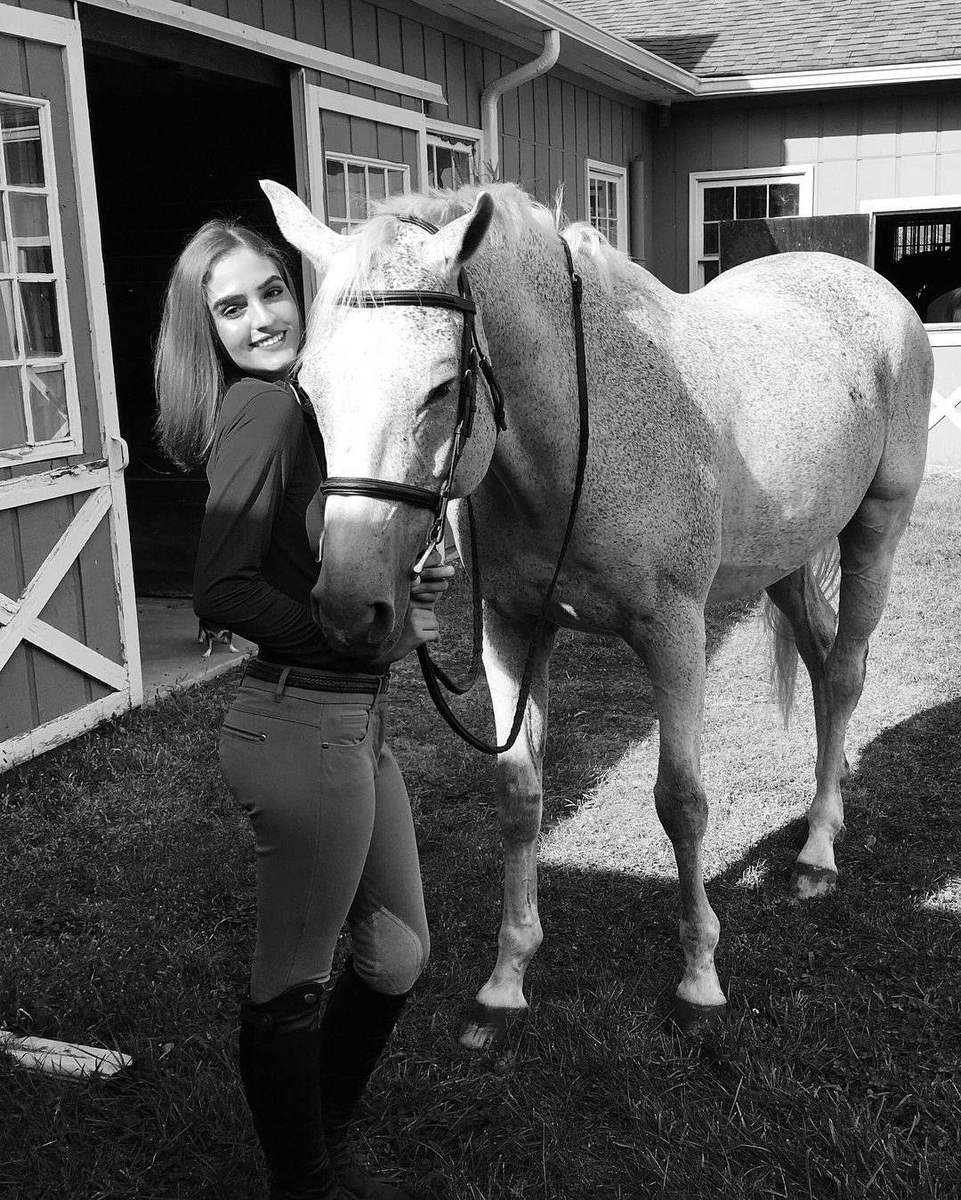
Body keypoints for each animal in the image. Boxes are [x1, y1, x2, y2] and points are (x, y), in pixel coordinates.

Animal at [261, 178, 934, 1046]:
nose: (349, 606)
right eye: (307, 388)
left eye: (441, 387)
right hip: (783, 557)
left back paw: (818, 848)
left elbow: (680, 802)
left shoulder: (675, 635)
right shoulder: (513, 629)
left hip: (874, 530)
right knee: (820, 667)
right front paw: (506, 979)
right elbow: (519, 795)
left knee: (846, 671)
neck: (581, 435)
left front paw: (699, 977)